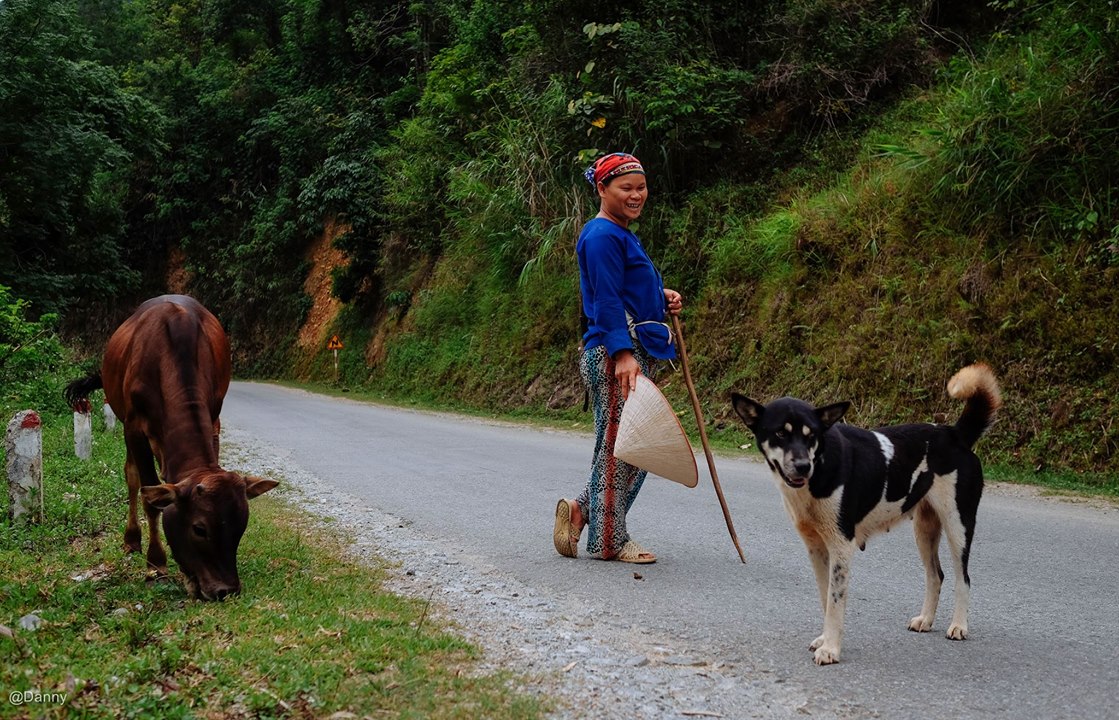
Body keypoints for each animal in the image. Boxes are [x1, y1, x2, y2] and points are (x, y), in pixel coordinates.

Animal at [65, 295, 275, 600]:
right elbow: (149, 498)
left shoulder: (215, 419)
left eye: (241, 526)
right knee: (131, 477)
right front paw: (156, 564)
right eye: (199, 528)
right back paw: (131, 540)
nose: (226, 590)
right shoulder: (133, 428)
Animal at [729, 367, 1002, 662]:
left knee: (963, 578)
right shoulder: (816, 548)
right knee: (935, 575)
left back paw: (959, 625)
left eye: (811, 435)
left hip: (957, 525)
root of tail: (954, 434)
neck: (821, 465)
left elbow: (835, 602)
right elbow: (825, 597)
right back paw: (926, 620)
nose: (802, 466)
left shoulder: (841, 546)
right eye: (780, 433)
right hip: (924, 530)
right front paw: (825, 639)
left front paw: (831, 649)